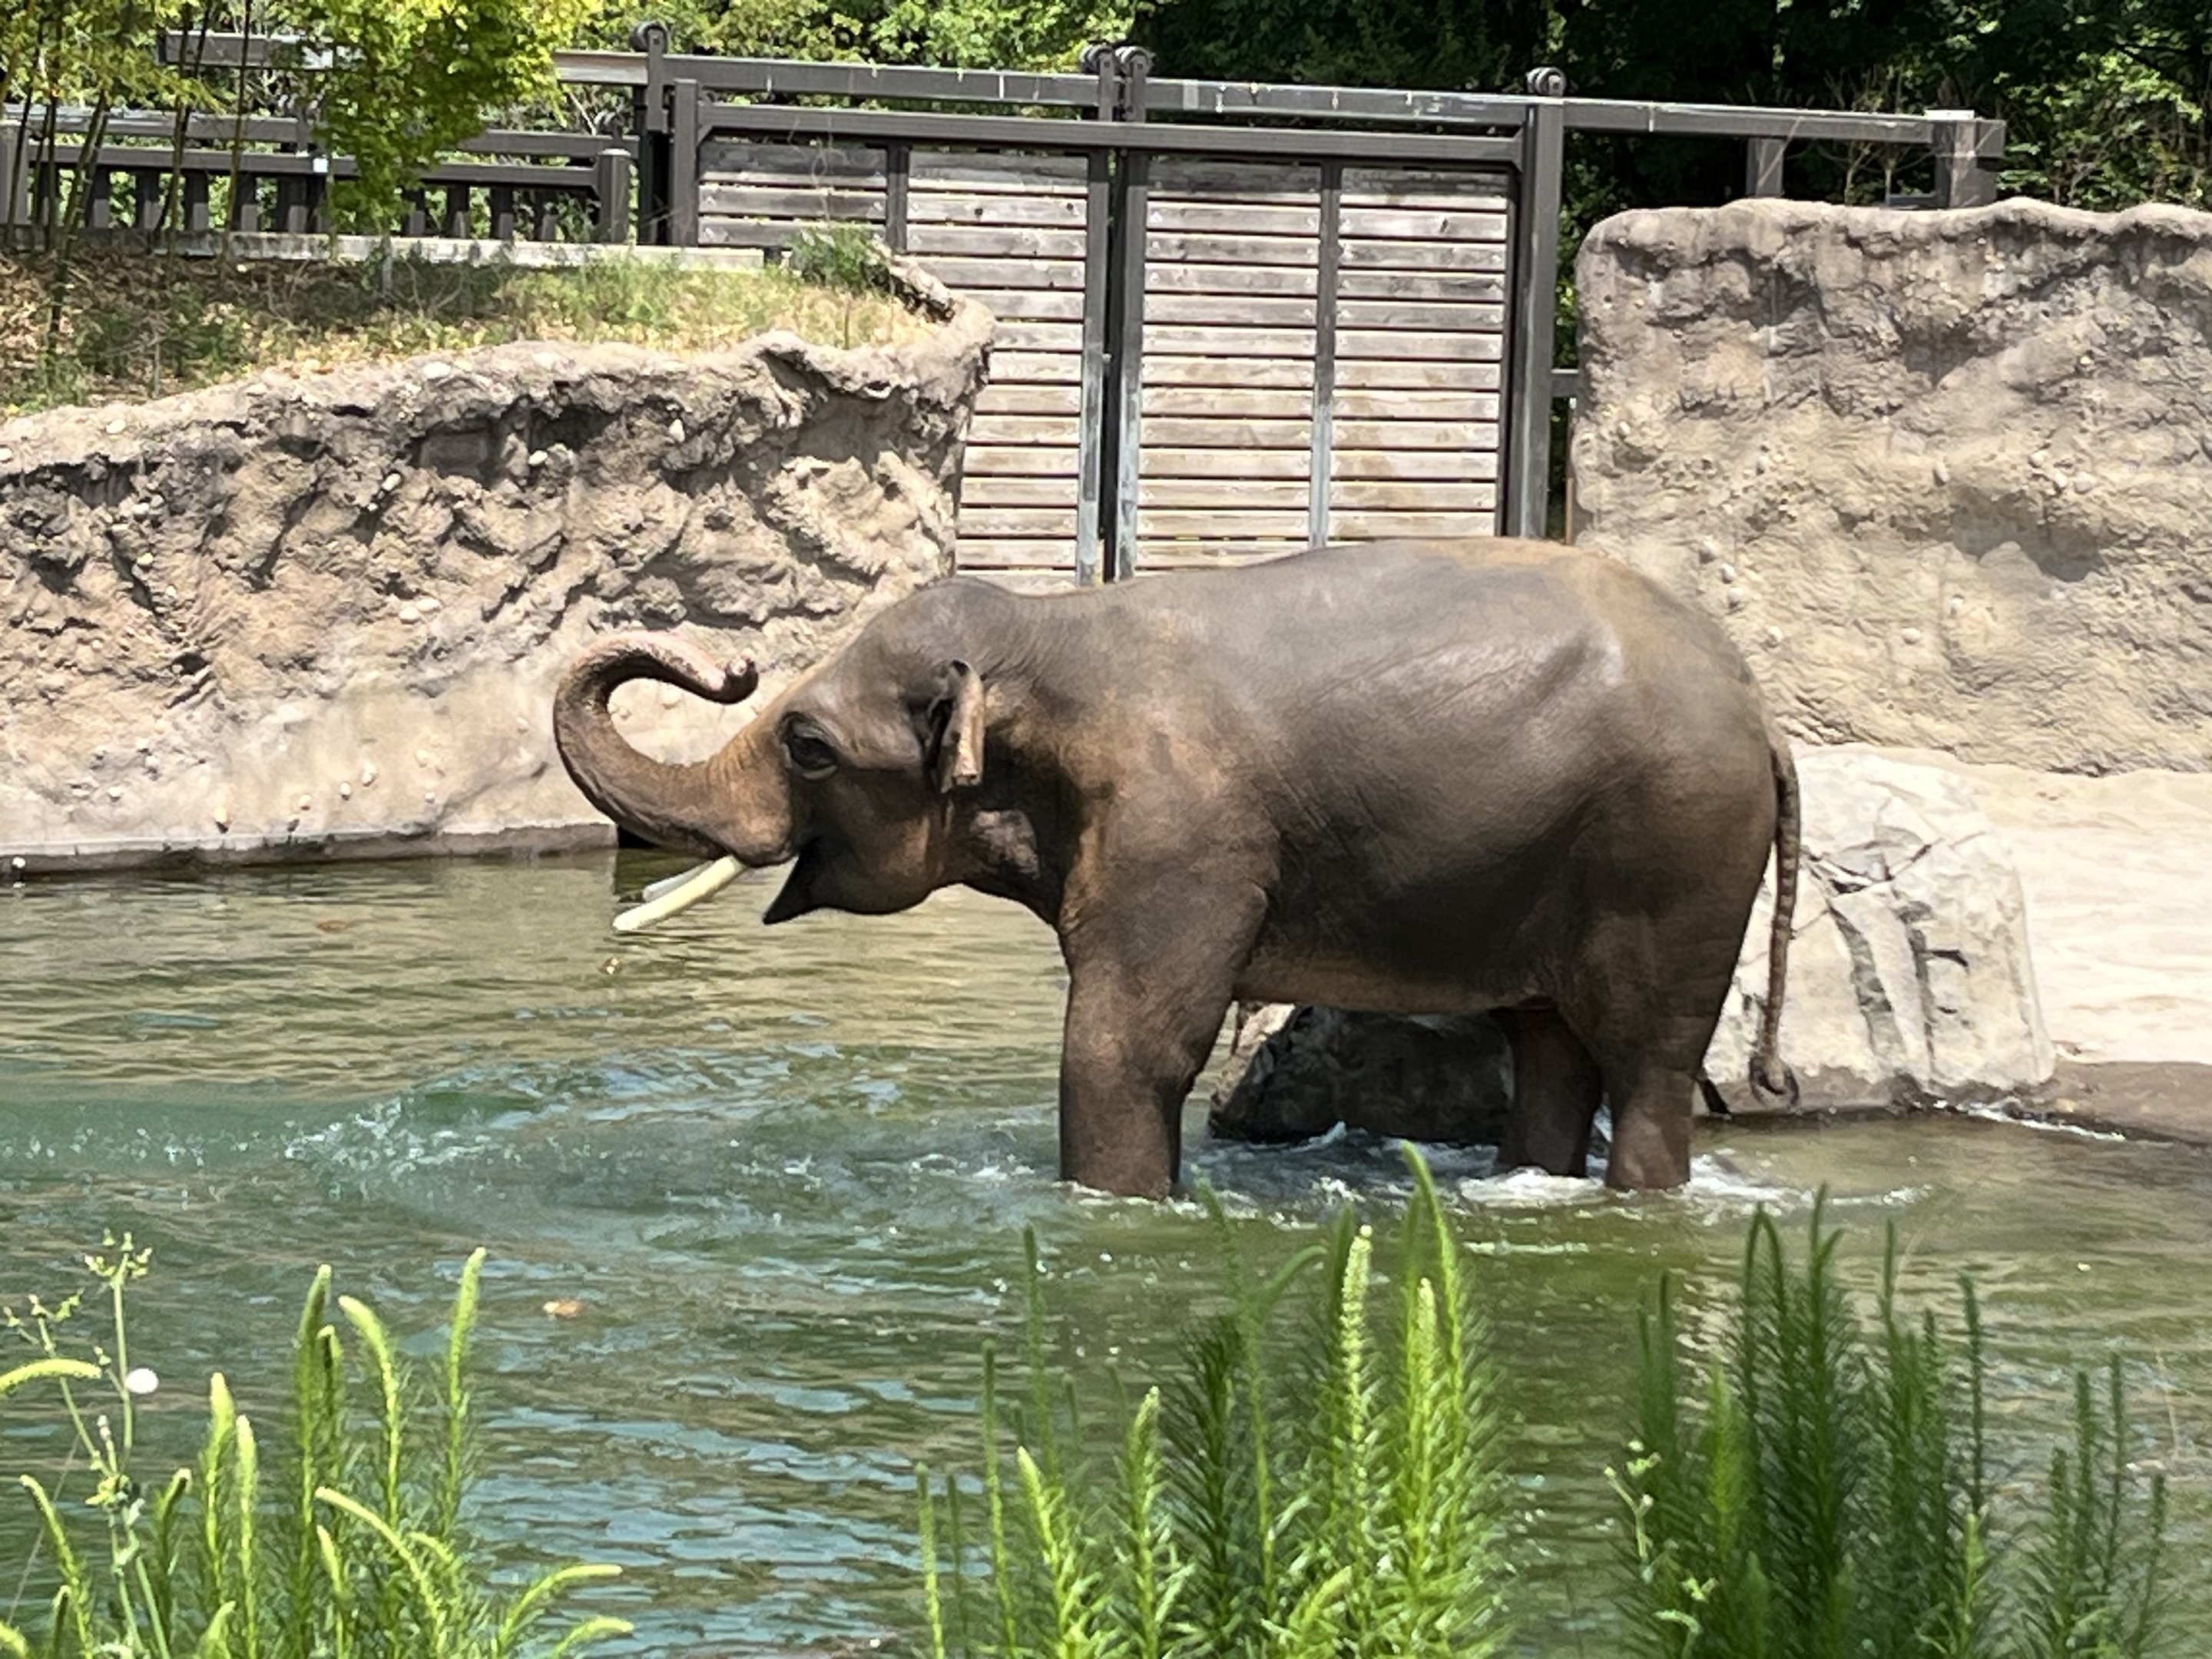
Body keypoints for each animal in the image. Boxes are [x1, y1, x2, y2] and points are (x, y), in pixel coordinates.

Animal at [552, 537, 1799, 1199]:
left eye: (808, 745)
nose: (725, 661)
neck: (1049, 634)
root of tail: (1761, 711)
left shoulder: (1182, 830)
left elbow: (1123, 1048)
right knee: (1550, 1051)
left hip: (1677, 854)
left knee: (1646, 1062)